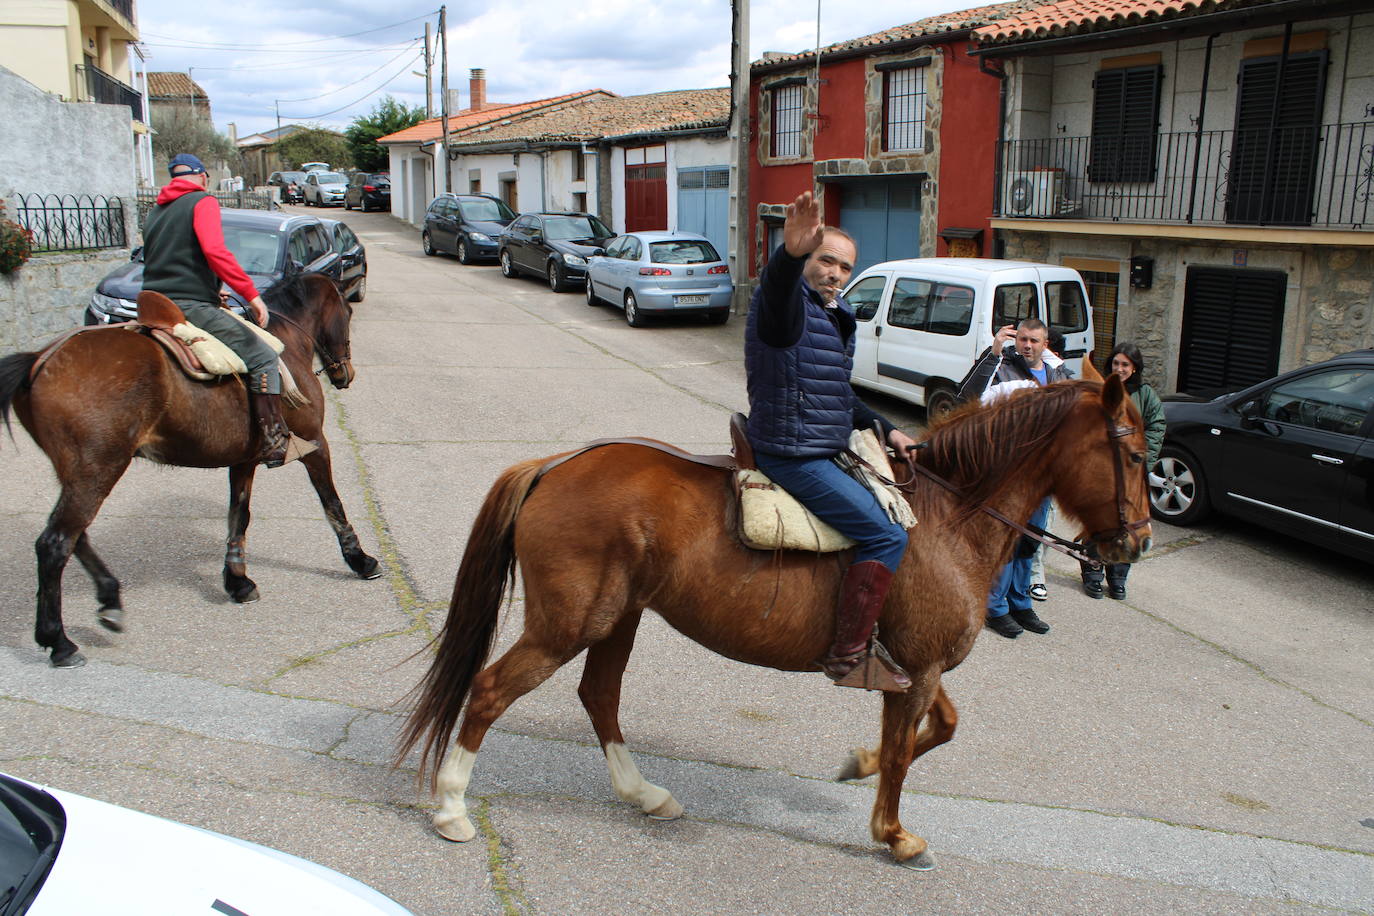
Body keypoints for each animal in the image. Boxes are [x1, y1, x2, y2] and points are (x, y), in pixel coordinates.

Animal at [0, 271, 379, 667]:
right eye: (348, 312)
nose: (345, 373)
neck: (287, 342)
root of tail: (40, 360)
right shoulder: (315, 445)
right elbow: (332, 503)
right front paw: (360, 560)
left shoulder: (243, 461)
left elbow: (239, 517)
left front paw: (238, 581)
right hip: (97, 471)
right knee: (56, 543)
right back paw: (58, 640)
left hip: (79, 475)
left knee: (76, 536)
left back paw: (109, 599)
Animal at [401, 376, 1159, 873]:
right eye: (1135, 455)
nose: (1138, 542)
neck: (949, 519)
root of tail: (552, 466)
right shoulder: (918, 669)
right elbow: (908, 751)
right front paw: (894, 833)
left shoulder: (914, 664)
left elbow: (939, 728)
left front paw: (858, 765)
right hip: (570, 625)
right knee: (491, 691)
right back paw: (452, 809)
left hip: (618, 619)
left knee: (599, 697)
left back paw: (645, 794)